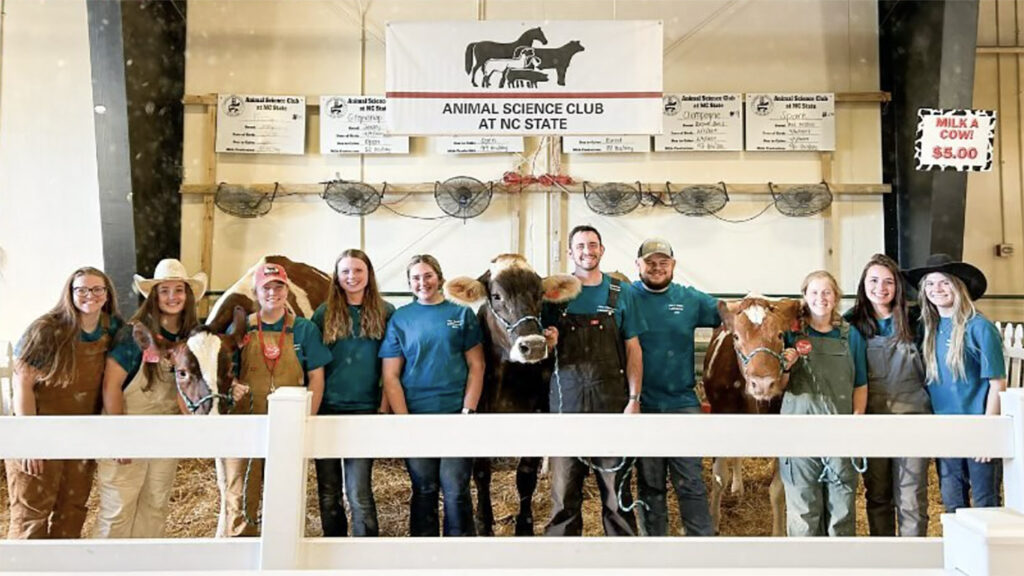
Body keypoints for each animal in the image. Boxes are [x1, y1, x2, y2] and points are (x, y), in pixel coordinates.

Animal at [446, 254, 581, 532]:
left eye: (540, 294)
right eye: (496, 296)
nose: (535, 346)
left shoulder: (539, 412)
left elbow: (526, 474)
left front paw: (525, 526)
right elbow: (482, 472)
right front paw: (483, 522)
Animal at [700, 295, 802, 532]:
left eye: (780, 334)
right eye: (736, 336)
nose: (763, 384)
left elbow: (777, 489)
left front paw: (778, 531)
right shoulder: (722, 414)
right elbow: (719, 477)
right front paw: (714, 520)